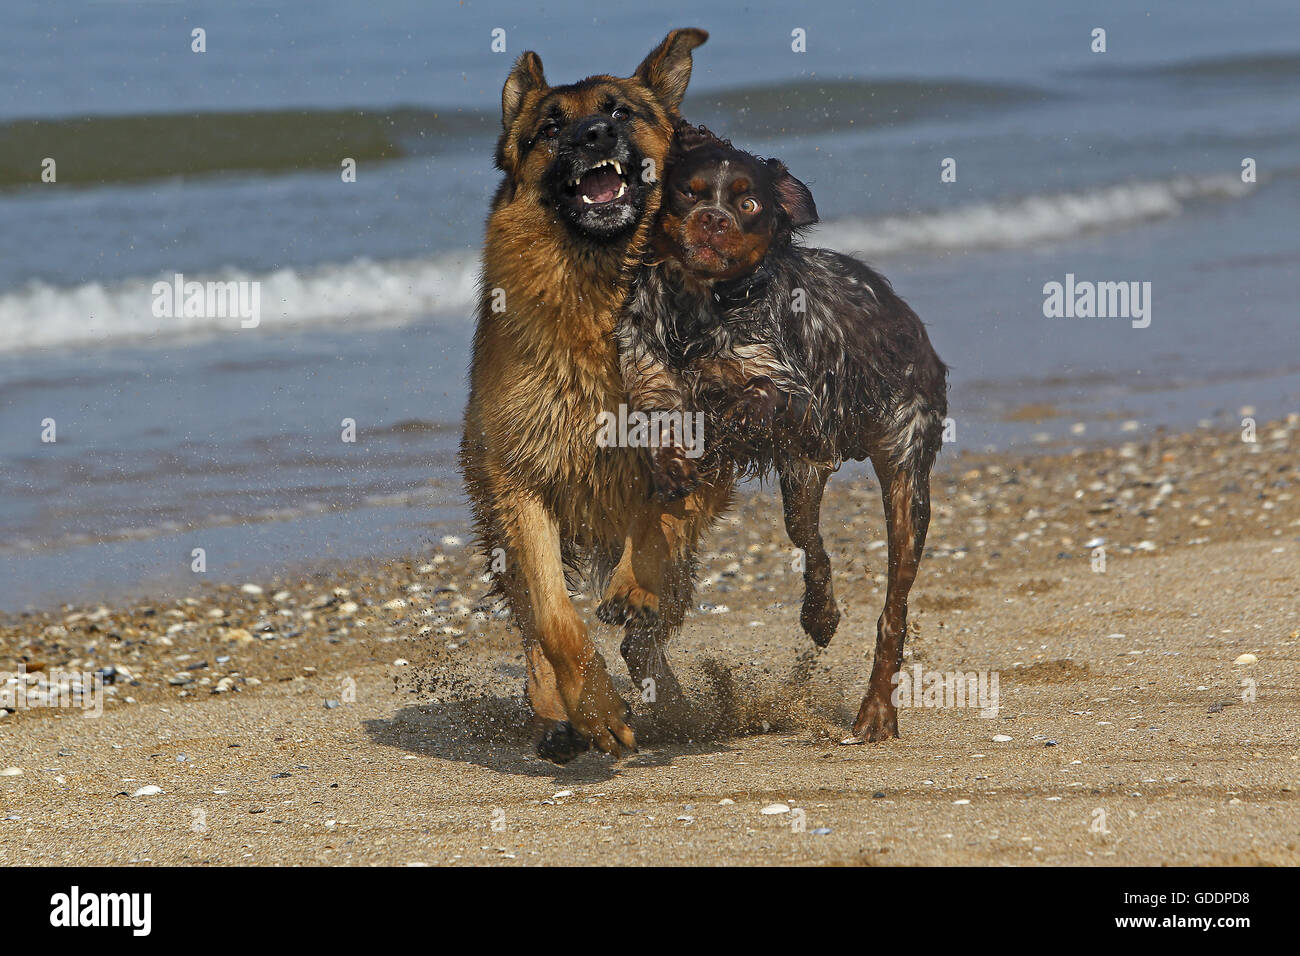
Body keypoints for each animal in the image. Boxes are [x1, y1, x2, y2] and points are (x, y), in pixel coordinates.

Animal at [460, 29, 733, 764]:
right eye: (550, 128)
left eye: (621, 110)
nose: (592, 134)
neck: (601, 291)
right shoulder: (522, 482)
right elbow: (556, 620)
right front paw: (593, 709)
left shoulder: (697, 455)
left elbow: (659, 522)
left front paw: (634, 582)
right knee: (532, 625)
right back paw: (558, 714)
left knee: (647, 640)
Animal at [613, 125, 951, 738]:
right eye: (689, 192)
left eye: (748, 205)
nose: (714, 220)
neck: (697, 310)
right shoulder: (652, 381)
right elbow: (665, 438)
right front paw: (675, 466)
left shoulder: (797, 398)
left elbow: (750, 400)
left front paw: (721, 420)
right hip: (803, 481)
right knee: (809, 542)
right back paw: (820, 614)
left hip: (904, 472)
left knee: (894, 606)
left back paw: (876, 710)